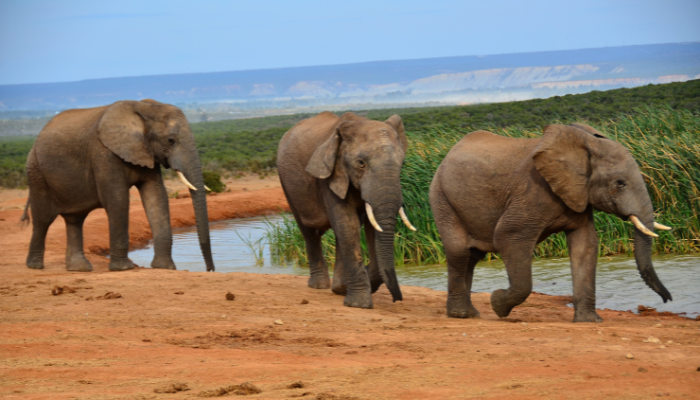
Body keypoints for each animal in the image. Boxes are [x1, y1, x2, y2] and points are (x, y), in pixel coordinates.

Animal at [23, 99, 215, 272]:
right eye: (171, 140)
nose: (210, 269)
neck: (144, 107)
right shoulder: (104, 153)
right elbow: (117, 199)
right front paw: (123, 268)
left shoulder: (147, 152)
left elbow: (156, 196)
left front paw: (165, 268)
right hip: (36, 171)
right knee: (43, 219)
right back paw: (35, 266)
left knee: (75, 220)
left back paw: (79, 269)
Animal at [277, 111, 416, 309]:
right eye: (361, 163)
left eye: (402, 163)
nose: (397, 299)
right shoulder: (331, 174)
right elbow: (348, 225)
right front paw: (358, 304)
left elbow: (370, 228)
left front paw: (347, 289)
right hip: (286, 183)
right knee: (309, 232)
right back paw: (319, 286)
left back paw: (338, 287)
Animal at [429, 123, 672, 323]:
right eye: (620, 183)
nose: (668, 299)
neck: (584, 144)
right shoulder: (533, 191)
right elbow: (507, 236)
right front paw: (497, 304)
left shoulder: (578, 194)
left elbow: (585, 246)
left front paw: (589, 322)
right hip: (441, 198)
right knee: (460, 252)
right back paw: (462, 315)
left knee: (472, 256)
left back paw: (469, 314)